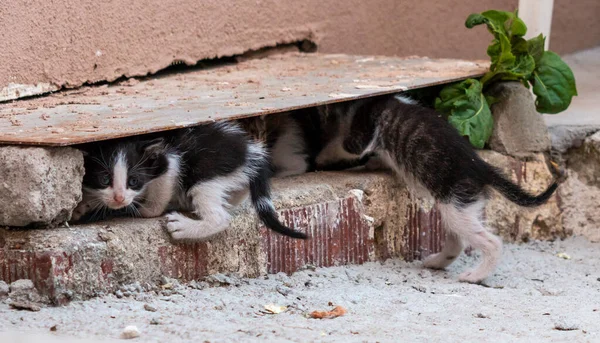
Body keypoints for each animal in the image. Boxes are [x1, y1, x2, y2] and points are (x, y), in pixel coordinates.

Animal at [72, 122, 308, 241]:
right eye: (104, 179)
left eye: (134, 180)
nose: (119, 198)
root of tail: (250, 152)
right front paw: (84, 205)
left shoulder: (170, 162)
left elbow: (160, 193)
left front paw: (146, 210)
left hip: (204, 175)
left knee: (220, 217)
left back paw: (184, 227)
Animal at [262, 94, 556, 284]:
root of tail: (483, 168)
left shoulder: (359, 136)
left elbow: (342, 145)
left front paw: (323, 157)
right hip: (458, 206)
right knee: (459, 240)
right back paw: (437, 262)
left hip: (455, 202)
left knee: (492, 242)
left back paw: (476, 275)